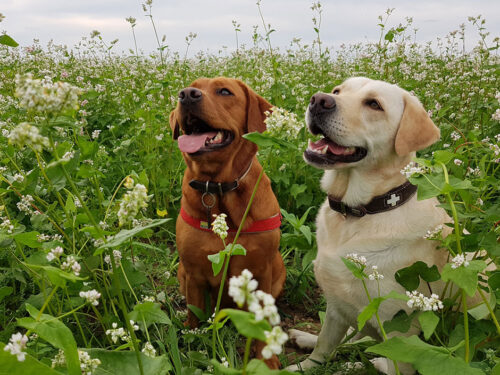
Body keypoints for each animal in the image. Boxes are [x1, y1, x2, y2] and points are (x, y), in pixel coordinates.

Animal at [169, 78, 286, 368]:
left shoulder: (262, 270)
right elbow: (195, 314)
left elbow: (260, 325)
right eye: (190, 87)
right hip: (182, 272)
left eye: (224, 91)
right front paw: (192, 343)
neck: (218, 187)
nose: (186, 95)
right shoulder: (194, 272)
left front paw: (266, 360)